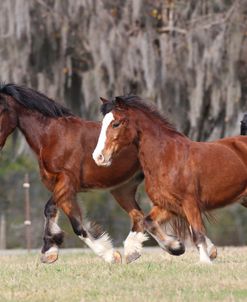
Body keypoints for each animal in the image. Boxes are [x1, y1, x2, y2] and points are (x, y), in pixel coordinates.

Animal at [92, 95, 247, 264]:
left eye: (116, 123)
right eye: (102, 123)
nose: (98, 157)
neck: (167, 158)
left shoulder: (190, 203)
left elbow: (197, 233)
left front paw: (205, 262)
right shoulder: (167, 204)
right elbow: (147, 222)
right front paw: (176, 246)